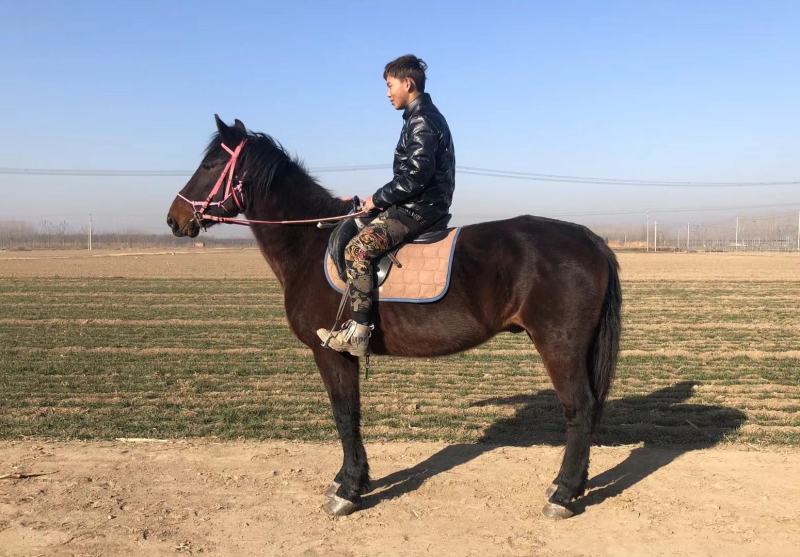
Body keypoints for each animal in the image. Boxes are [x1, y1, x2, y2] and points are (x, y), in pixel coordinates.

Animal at [166, 115, 622, 519]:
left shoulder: (329, 352)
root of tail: (591, 239)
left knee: (579, 409)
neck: (310, 243)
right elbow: (351, 414)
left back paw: (563, 495)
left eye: (210, 165)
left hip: (559, 345)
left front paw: (348, 491)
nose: (174, 218)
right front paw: (349, 480)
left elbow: (344, 414)